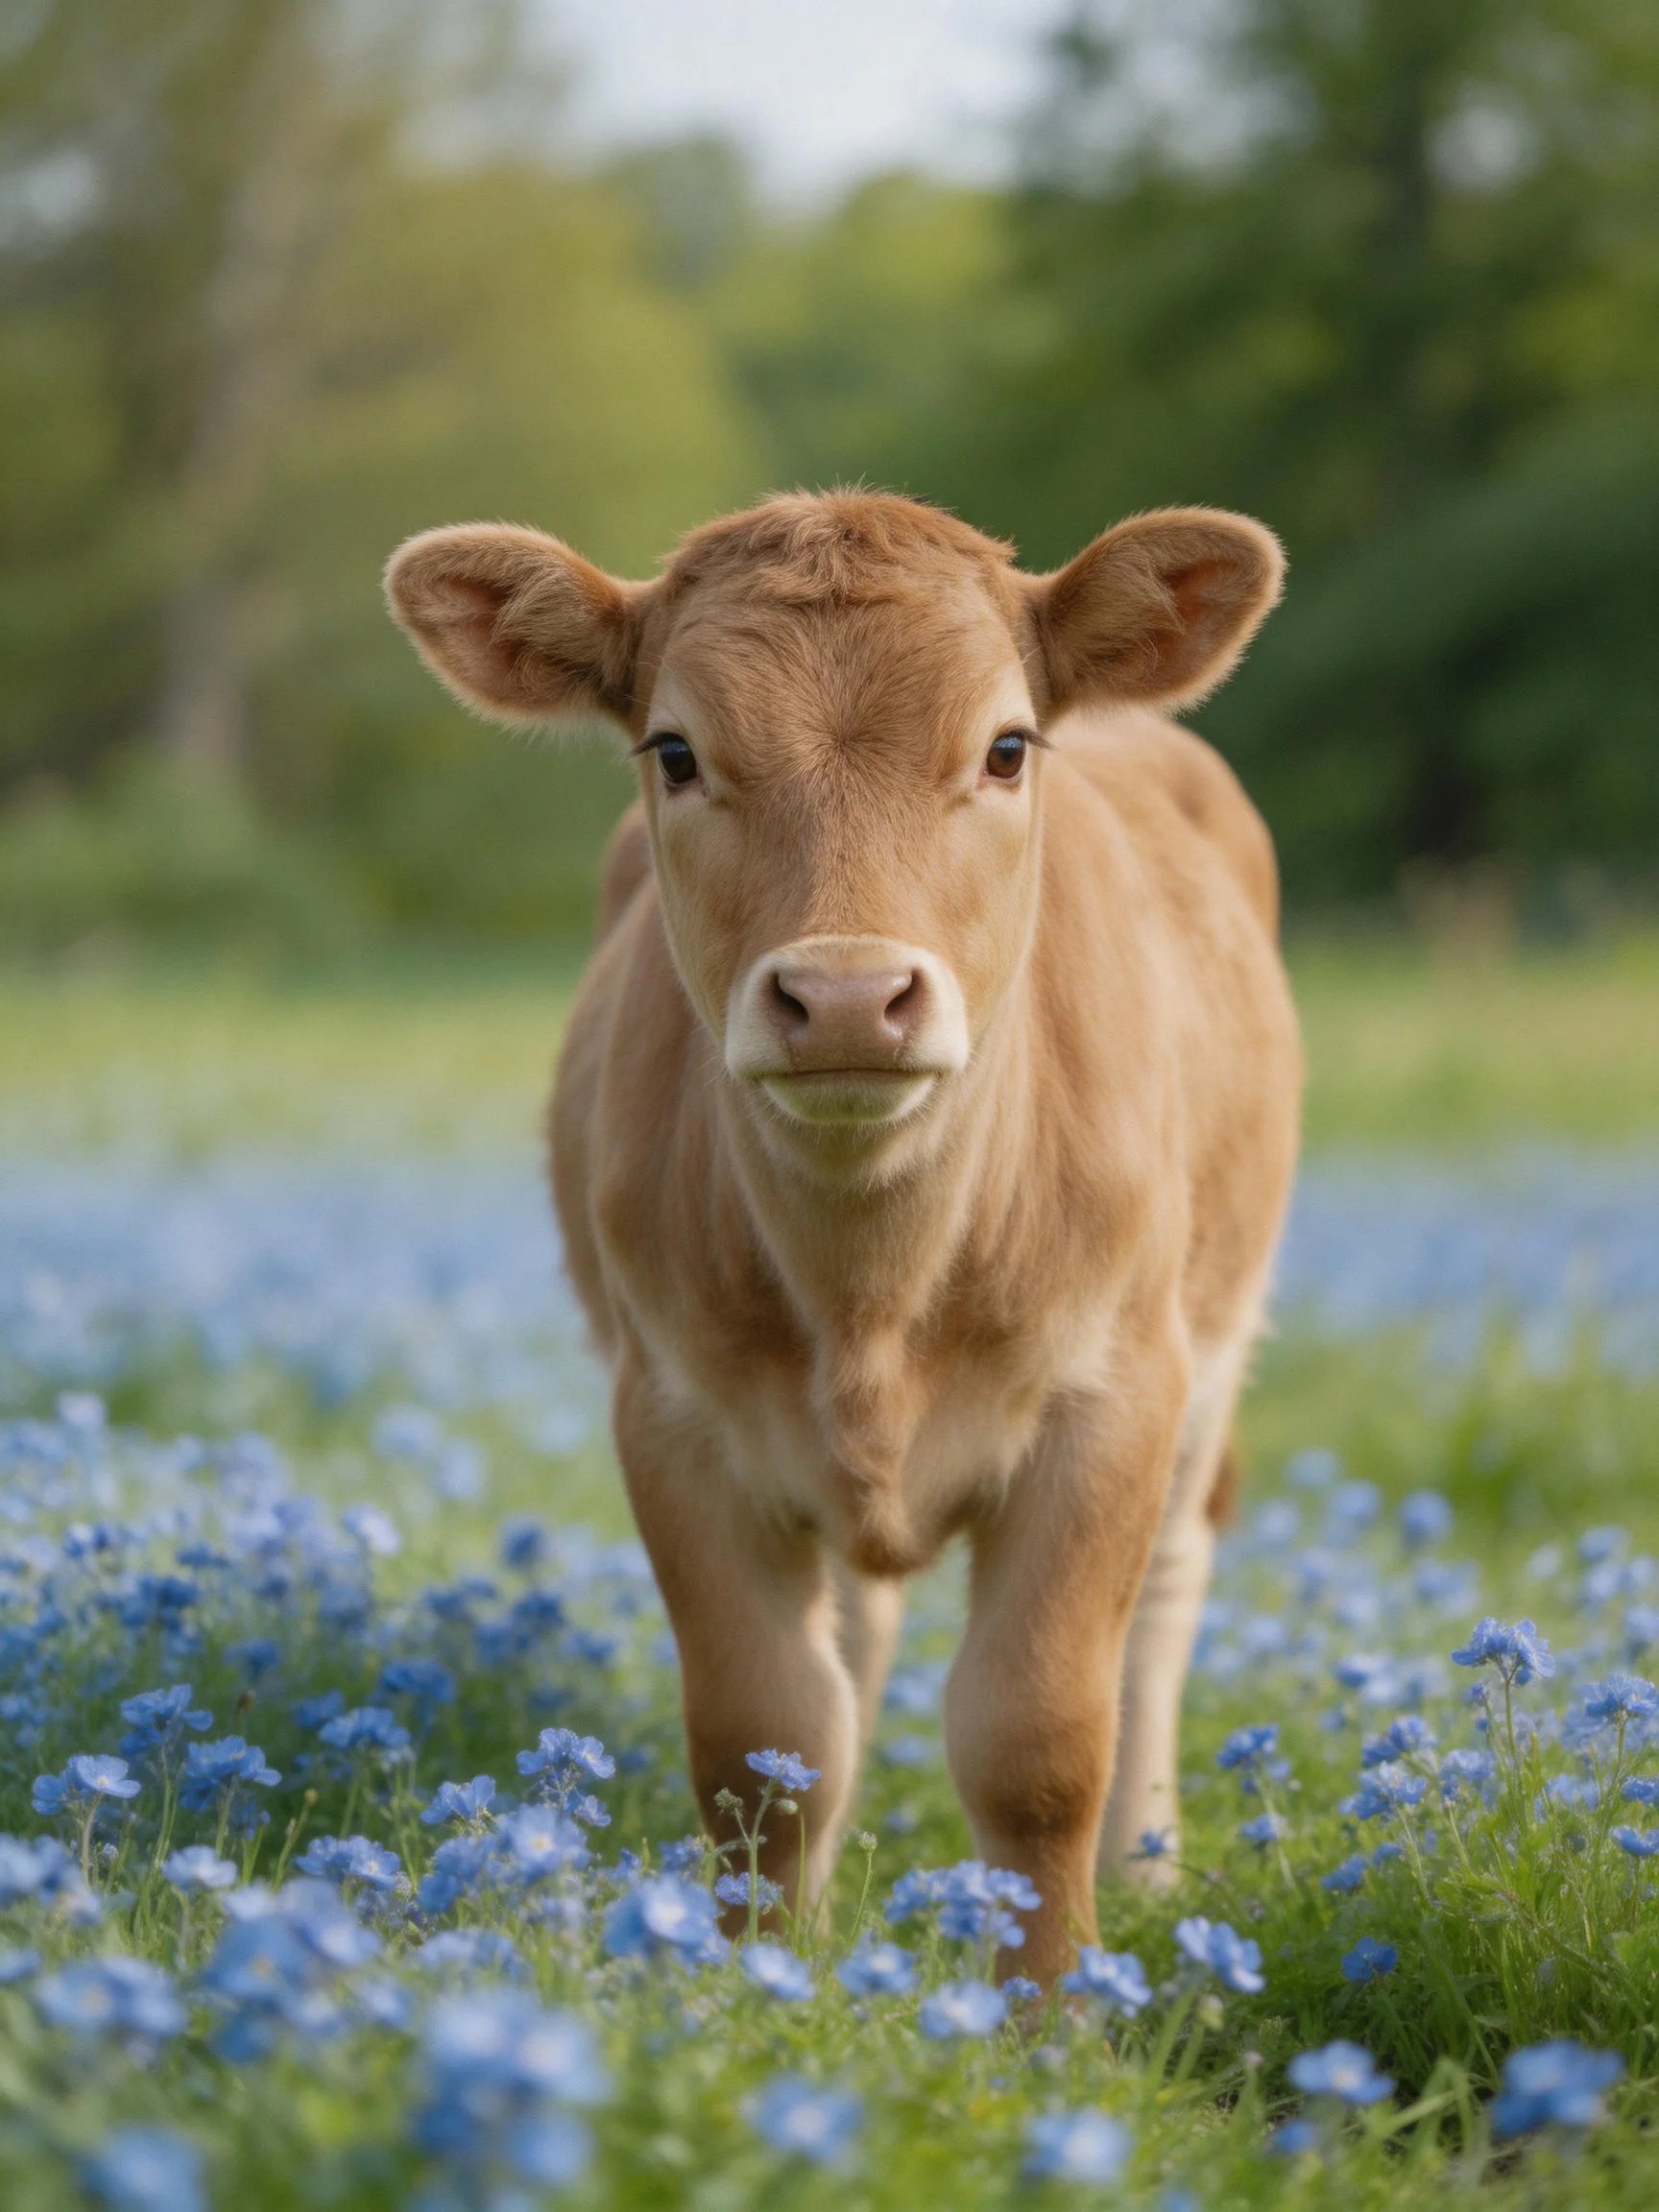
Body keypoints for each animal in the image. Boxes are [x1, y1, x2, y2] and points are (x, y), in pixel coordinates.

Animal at [385, 491, 1301, 1984]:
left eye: (1004, 747)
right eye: (677, 751)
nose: (850, 996)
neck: (875, 1288)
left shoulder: (1115, 1397)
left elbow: (1039, 1738)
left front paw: (1054, 2010)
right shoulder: (674, 1417)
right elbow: (761, 1738)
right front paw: (758, 1971)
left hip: (1216, 1347)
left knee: (1168, 1591)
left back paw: (1150, 1871)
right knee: (849, 1654)